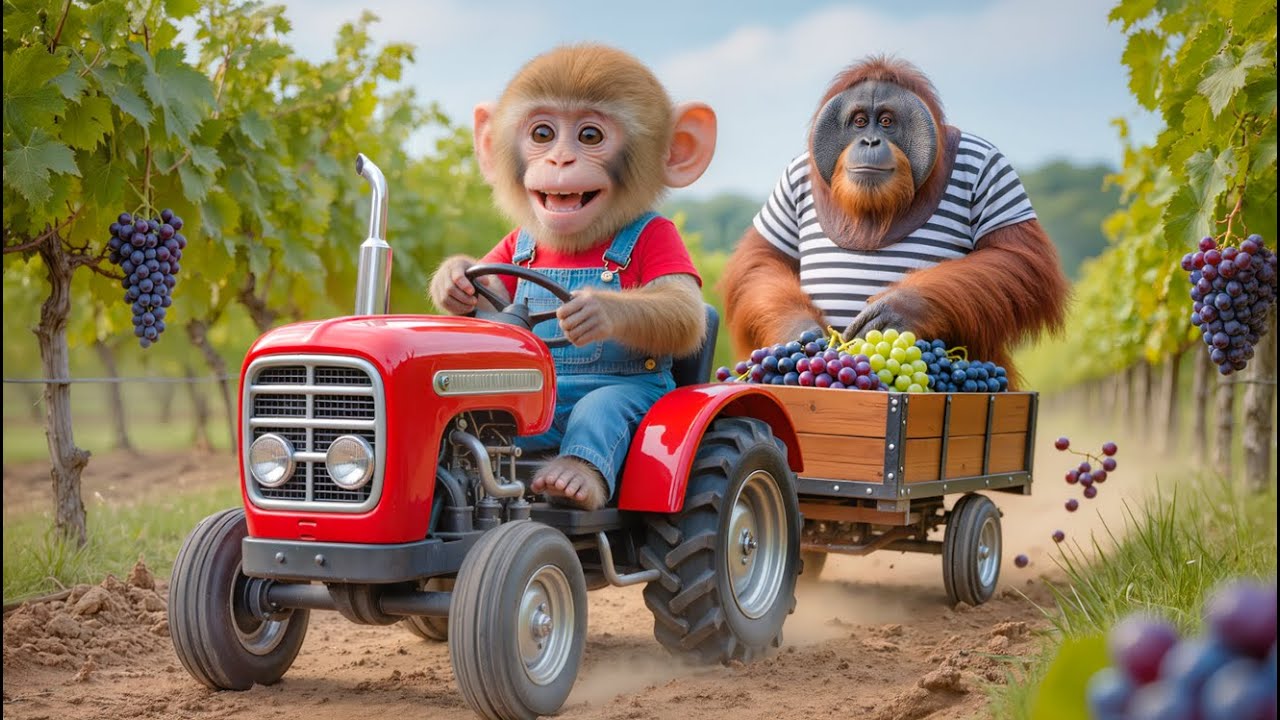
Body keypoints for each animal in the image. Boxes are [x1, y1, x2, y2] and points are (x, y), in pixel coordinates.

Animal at [428, 44, 717, 510]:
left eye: (590, 136)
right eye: (542, 134)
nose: (559, 159)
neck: (574, 243)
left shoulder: (662, 236)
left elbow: (683, 308)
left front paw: (594, 309)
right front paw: (453, 279)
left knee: (604, 409)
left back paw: (571, 479)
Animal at [721, 56, 1068, 385]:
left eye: (886, 122)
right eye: (860, 122)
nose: (870, 141)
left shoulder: (992, 166)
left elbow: (1016, 258)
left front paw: (897, 310)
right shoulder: (791, 177)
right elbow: (764, 259)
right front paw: (801, 332)